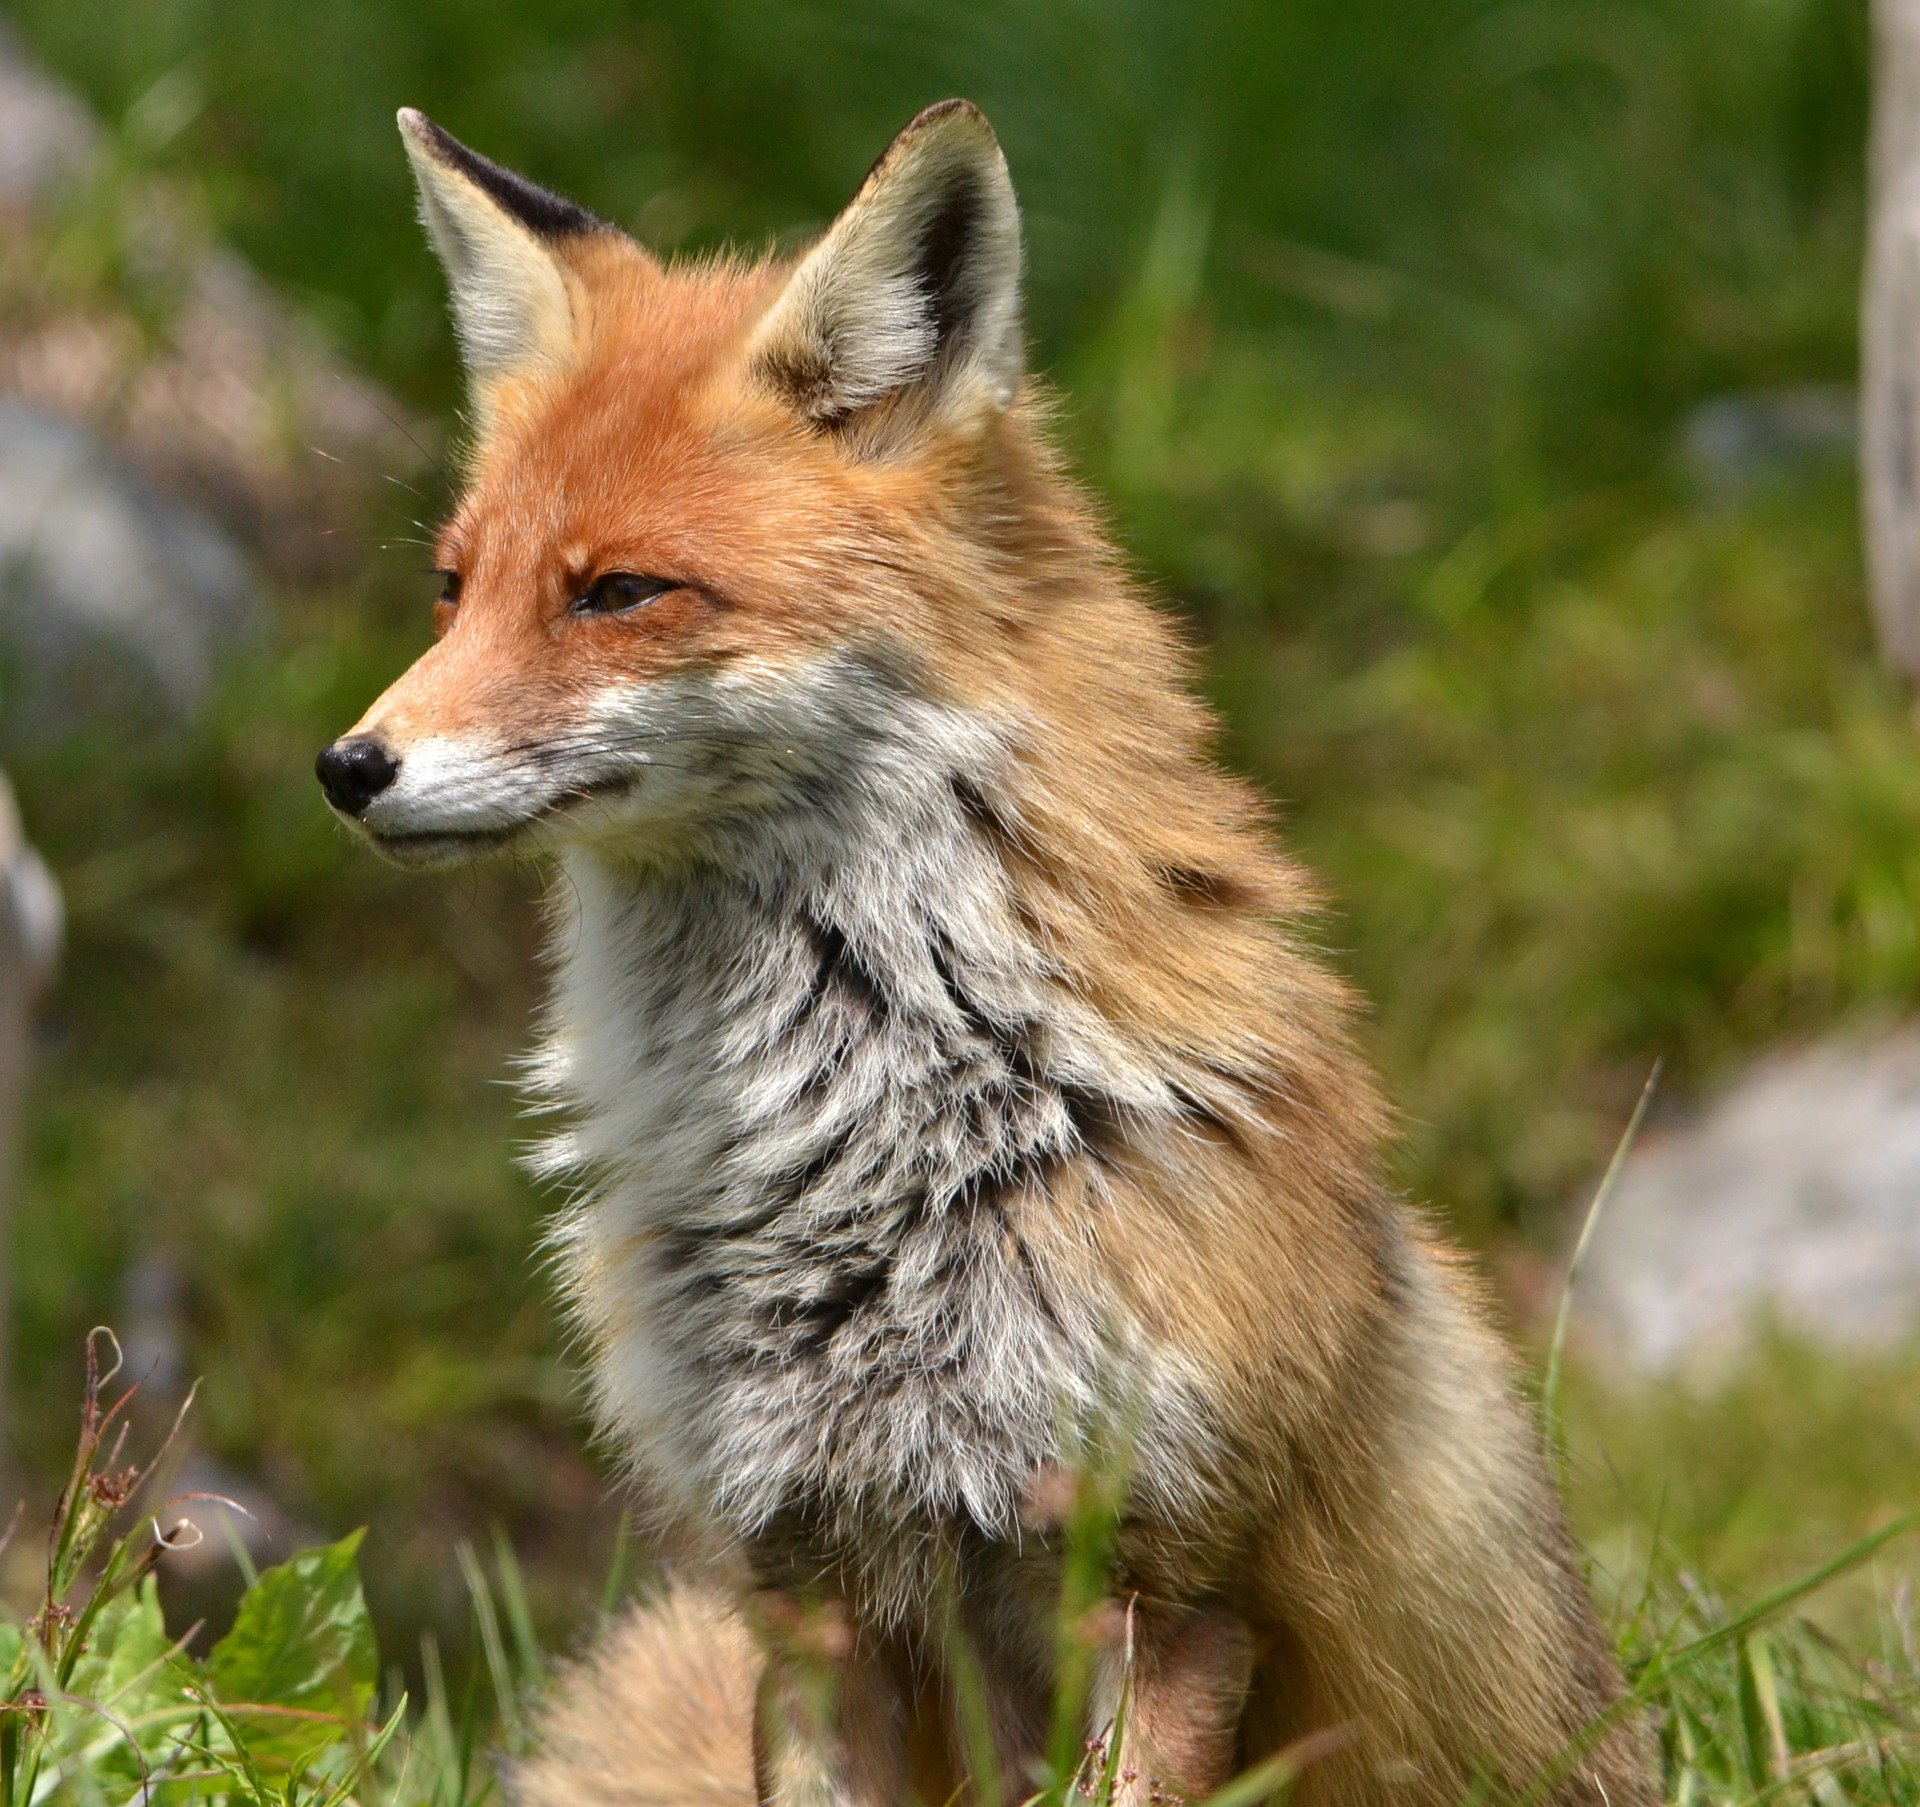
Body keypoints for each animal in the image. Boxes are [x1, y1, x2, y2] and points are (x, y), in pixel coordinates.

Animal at [322, 95, 1658, 1805]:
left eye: (619, 590)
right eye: (454, 586)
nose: (349, 765)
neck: (862, 1147)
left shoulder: (1163, 1585)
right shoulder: (804, 1588)